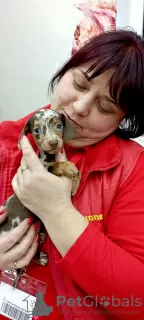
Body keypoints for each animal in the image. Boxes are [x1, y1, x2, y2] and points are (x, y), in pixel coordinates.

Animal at [0, 109, 80, 286]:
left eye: (59, 126)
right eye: (36, 130)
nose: (53, 143)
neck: (48, 157)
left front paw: (74, 185)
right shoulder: (44, 170)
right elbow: (56, 166)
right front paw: (67, 167)